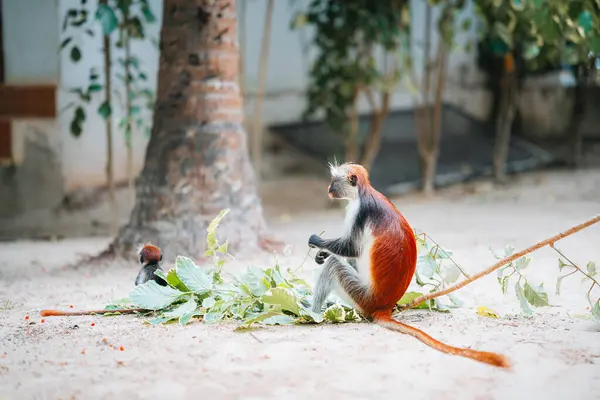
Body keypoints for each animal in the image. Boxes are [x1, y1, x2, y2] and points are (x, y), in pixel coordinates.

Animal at [310, 162, 510, 368]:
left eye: (334, 181)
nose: (329, 189)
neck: (363, 192)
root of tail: (384, 306)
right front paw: (322, 253)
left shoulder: (360, 212)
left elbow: (351, 248)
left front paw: (317, 242)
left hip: (363, 296)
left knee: (334, 265)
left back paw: (311, 314)